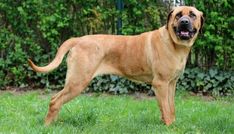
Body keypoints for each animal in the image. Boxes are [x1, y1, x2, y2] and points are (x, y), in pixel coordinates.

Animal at [28, 6, 203, 125]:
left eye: (192, 15)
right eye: (178, 15)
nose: (184, 22)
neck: (175, 44)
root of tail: (78, 39)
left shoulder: (171, 83)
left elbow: (170, 107)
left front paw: (171, 124)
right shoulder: (160, 84)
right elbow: (166, 109)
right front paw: (169, 126)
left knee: (56, 100)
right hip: (78, 81)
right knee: (54, 101)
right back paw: (47, 125)